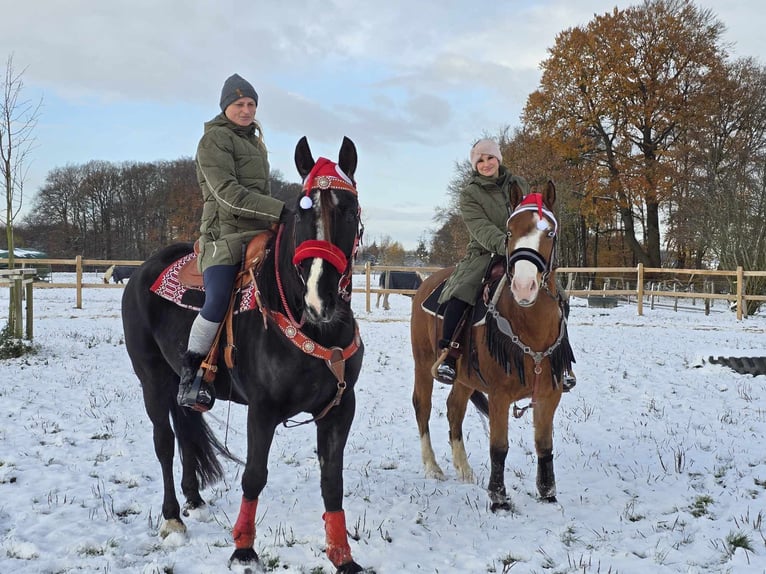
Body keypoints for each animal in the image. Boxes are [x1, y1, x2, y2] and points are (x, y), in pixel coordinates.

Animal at [121, 137, 368, 572]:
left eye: (350, 209)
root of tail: (139, 273)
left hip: (181, 382)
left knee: (185, 432)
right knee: (164, 442)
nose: (319, 299)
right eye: (301, 211)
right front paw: (243, 548)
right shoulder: (262, 409)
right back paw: (172, 518)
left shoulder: (340, 408)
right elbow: (254, 475)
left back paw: (194, 499)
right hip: (151, 379)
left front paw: (342, 556)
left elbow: (332, 482)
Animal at [412, 181, 572, 512]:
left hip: (464, 378)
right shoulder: (499, 396)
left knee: (454, 410)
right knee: (423, 407)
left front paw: (547, 493)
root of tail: (427, 282)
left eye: (550, 232)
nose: (524, 286)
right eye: (509, 232)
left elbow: (544, 445)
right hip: (423, 364)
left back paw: (464, 469)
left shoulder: (549, 395)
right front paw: (499, 499)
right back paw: (432, 466)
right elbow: (499, 447)